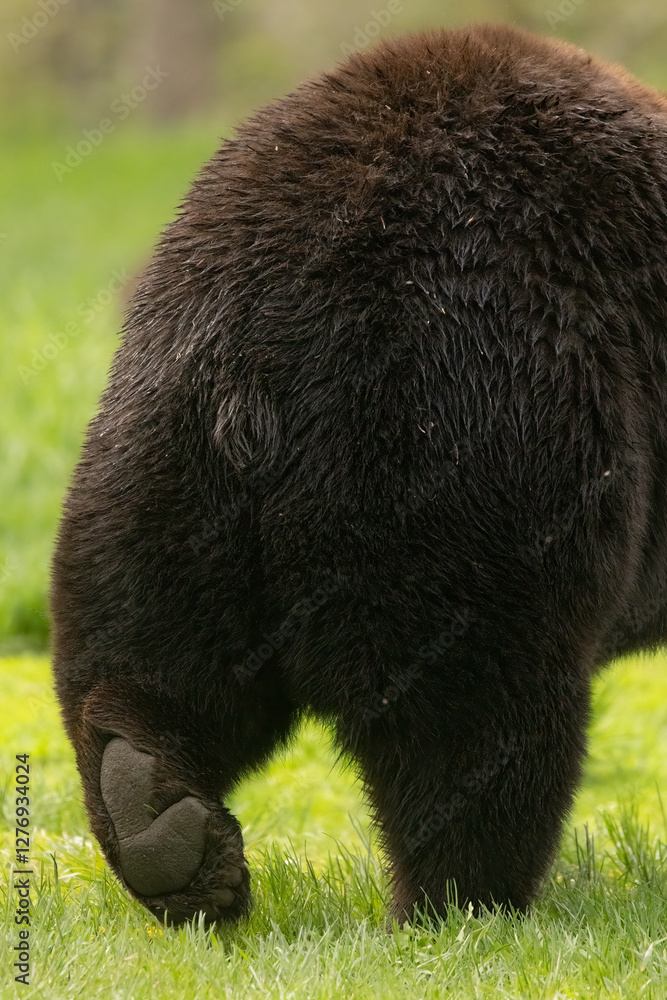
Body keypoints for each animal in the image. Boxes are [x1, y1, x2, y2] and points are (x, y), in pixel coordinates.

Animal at [50, 22, 667, 928]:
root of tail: (257, 344)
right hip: (464, 421)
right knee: (473, 713)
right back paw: (462, 899)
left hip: (155, 451)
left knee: (145, 642)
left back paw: (159, 820)